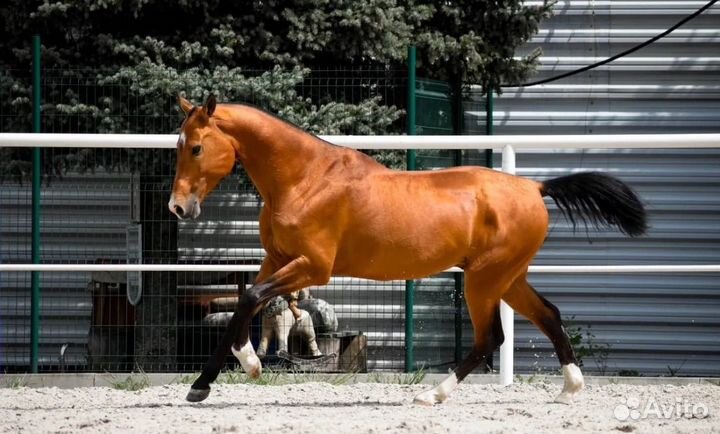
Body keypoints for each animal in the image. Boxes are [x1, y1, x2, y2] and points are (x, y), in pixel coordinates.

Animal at [170, 95, 648, 404]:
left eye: (196, 147)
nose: (178, 207)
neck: (305, 179)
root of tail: (534, 187)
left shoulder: (313, 267)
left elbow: (251, 297)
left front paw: (204, 385)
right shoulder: (279, 260)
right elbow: (249, 302)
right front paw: (246, 364)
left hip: (485, 279)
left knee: (491, 337)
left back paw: (432, 395)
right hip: (508, 278)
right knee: (548, 315)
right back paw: (570, 388)